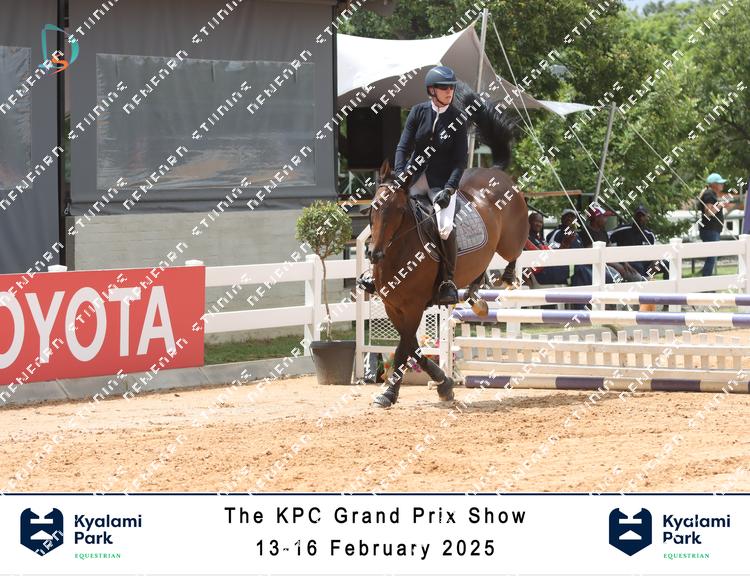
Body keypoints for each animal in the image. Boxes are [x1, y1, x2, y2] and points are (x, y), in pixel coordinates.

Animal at [364, 84, 529, 408]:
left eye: (399, 210)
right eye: (374, 207)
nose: (374, 253)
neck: (397, 253)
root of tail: (496, 171)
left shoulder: (413, 306)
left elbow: (404, 349)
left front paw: (389, 393)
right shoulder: (392, 306)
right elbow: (413, 348)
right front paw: (444, 383)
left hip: (510, 240)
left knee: (514, 253)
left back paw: (504, 280)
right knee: (479, 273)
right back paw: (476, 299)